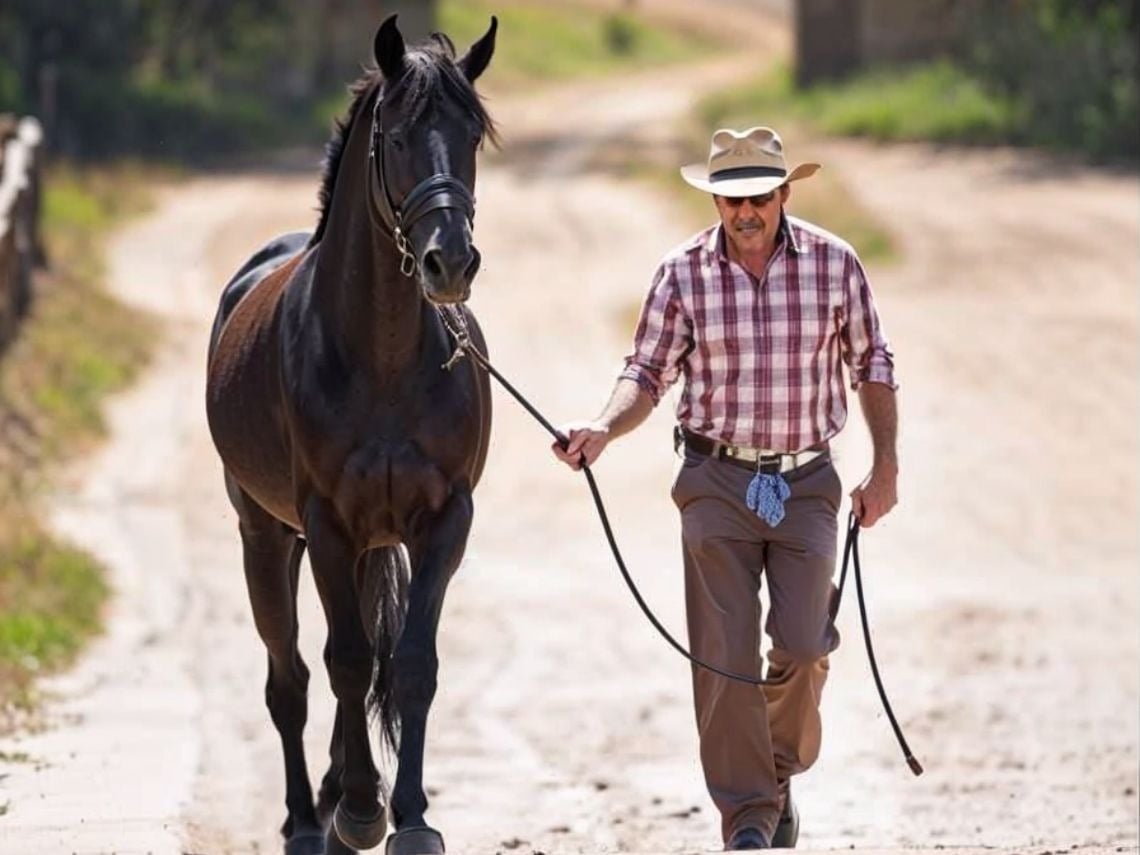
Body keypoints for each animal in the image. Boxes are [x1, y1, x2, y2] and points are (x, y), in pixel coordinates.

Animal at [205, 15, 497, 855]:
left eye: (472, 134)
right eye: (396, 137)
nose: (449, 262)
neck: (384, 357)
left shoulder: (444, 519)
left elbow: (410, 664)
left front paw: (413, 817)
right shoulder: (327, 522)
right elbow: (342, 663)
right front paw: (366, 809)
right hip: (268, 535)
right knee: (291, 678)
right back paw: (310, 818)